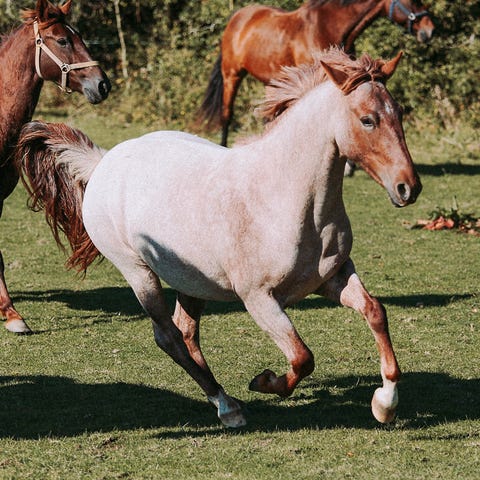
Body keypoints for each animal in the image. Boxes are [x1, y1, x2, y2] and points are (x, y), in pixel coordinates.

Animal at [16, 47, 422, 427]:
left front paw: (385, 404)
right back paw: (229, 407)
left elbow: (375, 312)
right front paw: (265, 382)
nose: (409, 188)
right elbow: (302, 357)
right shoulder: (259, 298)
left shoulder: (332, 277)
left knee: (186, 333)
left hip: (191, 281)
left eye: (400, 114)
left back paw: (223, 400)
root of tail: (102, 162)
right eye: (367, 120)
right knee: (169, 337)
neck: (286, 198)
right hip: (138, 272)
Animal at [198, 0, 434, 148]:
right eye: (414, 0)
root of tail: (238, 17)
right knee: (227, 114)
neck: (327, 26)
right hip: (232, 75)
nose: (429, 30)